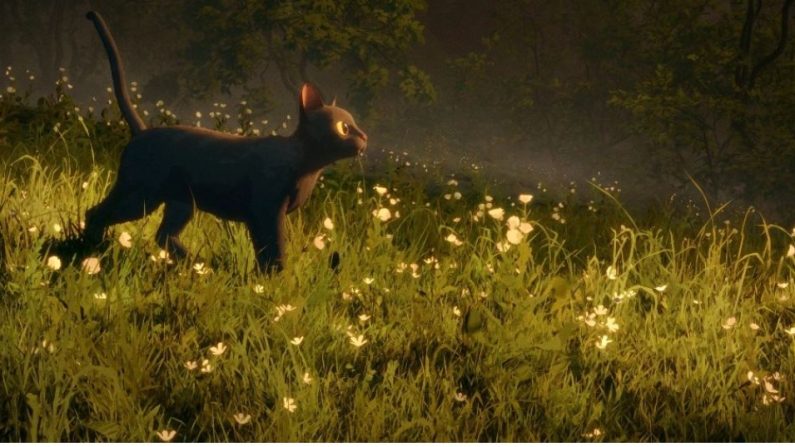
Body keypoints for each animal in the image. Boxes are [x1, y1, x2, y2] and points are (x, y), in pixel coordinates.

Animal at [82, 11, 368, 272]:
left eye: (355, 124)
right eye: (344, 128)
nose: (365, 136)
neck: (308, 167)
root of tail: (142, 131)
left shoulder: (260, 215)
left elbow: (264, 252)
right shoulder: (266, 210)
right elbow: (273, 249)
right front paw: (274, 281)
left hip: (180, 202)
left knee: (163, 235)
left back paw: (196, 265)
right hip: (141, 195)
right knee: (95, 213)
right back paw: (93, 252)